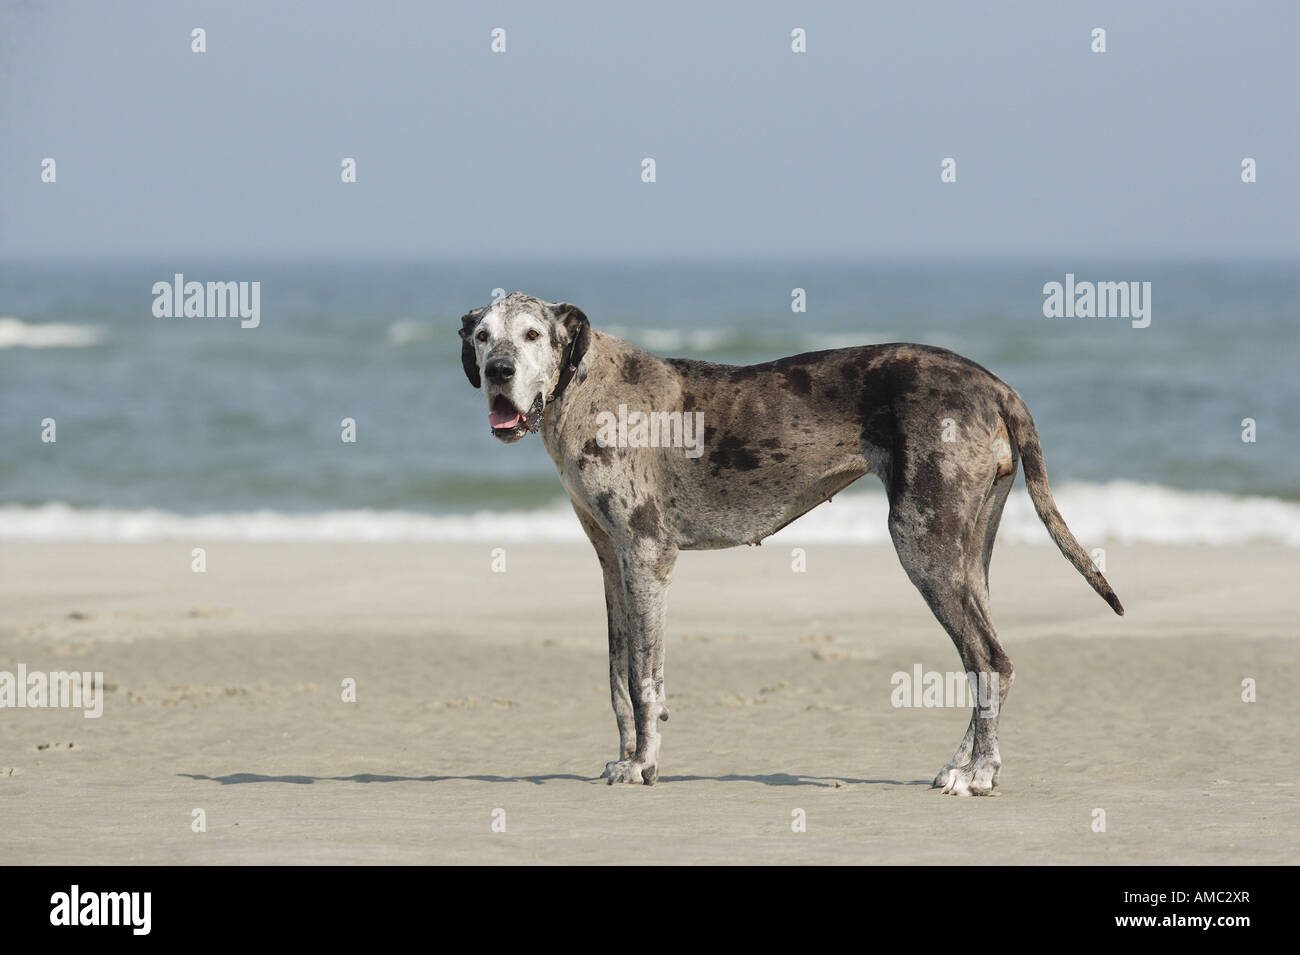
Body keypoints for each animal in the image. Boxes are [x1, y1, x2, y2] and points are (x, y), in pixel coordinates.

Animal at [462, 293, 1123, 800]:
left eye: (531, 334)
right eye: (482, 336)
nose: (498, 372)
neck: (583, 390)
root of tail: (993, 382)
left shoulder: (647, 558)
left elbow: (646, 678)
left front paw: (645, 764)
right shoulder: (610, 561)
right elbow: (619, 676)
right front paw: (625, 758)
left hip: (922, 545)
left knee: (990, 659)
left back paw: (978, 774)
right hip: (967, 554)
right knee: (983, 660)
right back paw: (964, 763)